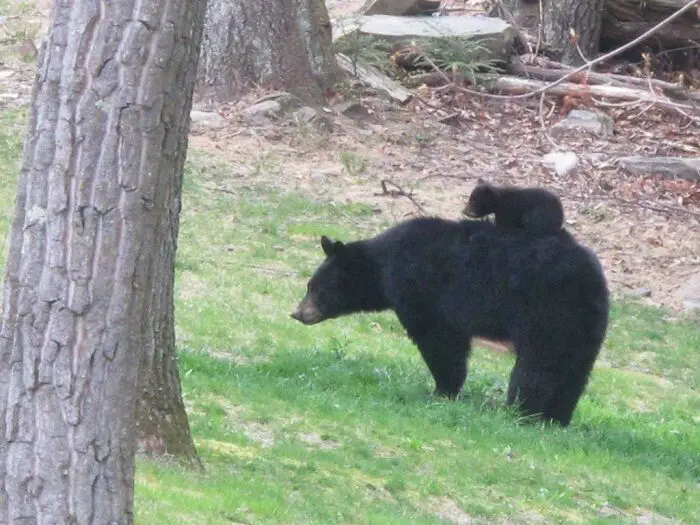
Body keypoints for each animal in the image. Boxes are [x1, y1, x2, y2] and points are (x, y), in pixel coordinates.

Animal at [290, 217, 608, 426]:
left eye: (316, 287)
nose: (297, 313)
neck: (384, 265)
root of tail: (589, 279)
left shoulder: (424, 289)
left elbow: (440, 340)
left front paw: (443, 390)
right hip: (583, 326)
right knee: (574, 370)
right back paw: (557, 417)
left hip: (545, 313)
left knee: (538, 367)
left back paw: (521, 411)